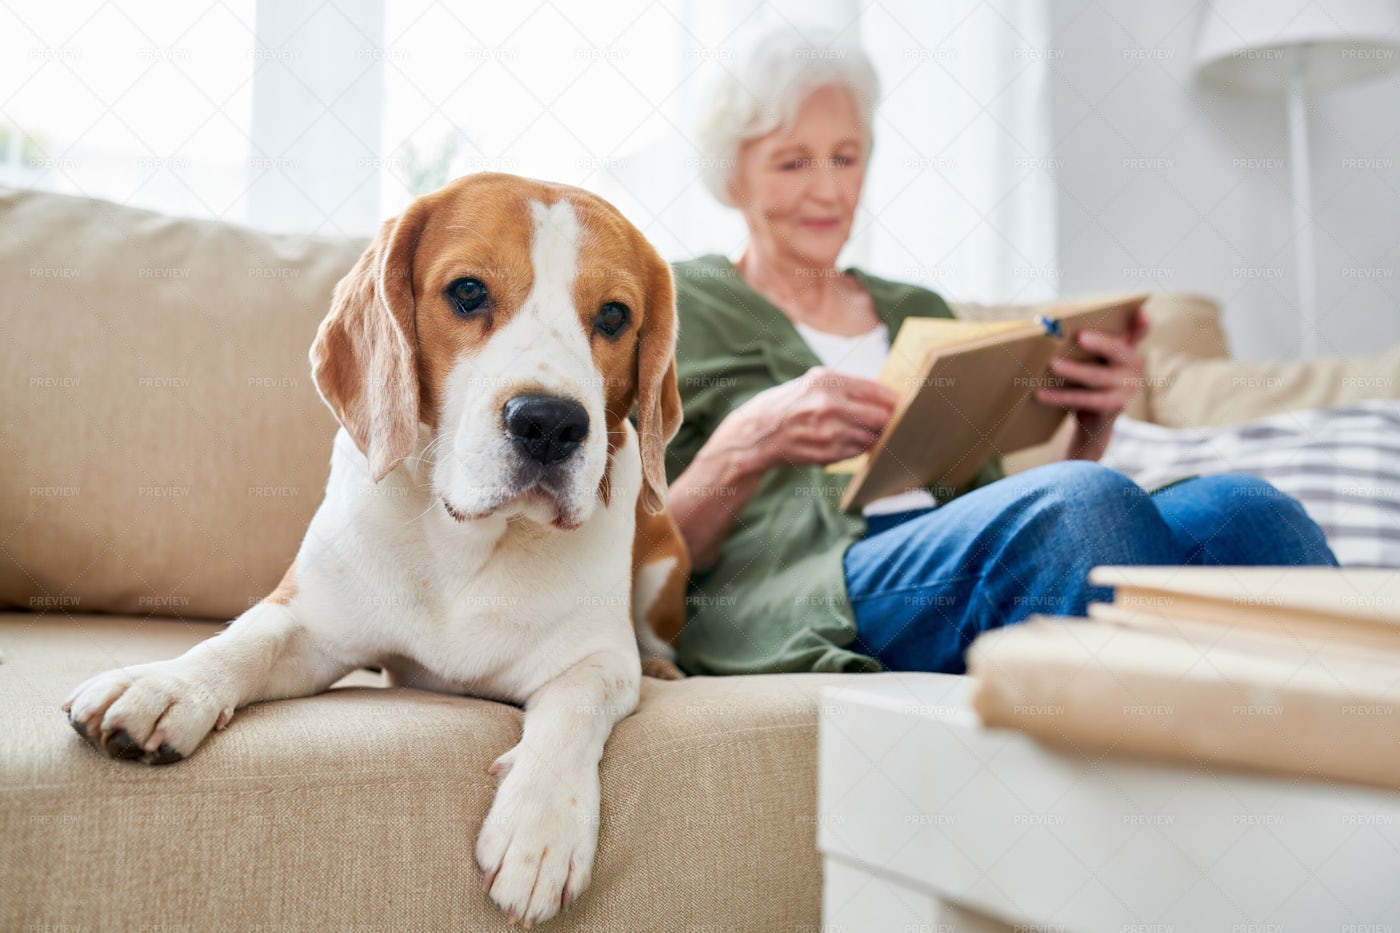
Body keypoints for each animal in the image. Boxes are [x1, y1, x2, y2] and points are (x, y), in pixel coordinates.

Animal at [65, 172, 688, 924]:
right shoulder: (312, 620)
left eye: (615, 316)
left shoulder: (599, 658)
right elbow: (244, 639)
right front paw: (168, 685)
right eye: (468, 292)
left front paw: (542, 827)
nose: (550, 422)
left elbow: (575, 706)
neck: (467, 542)